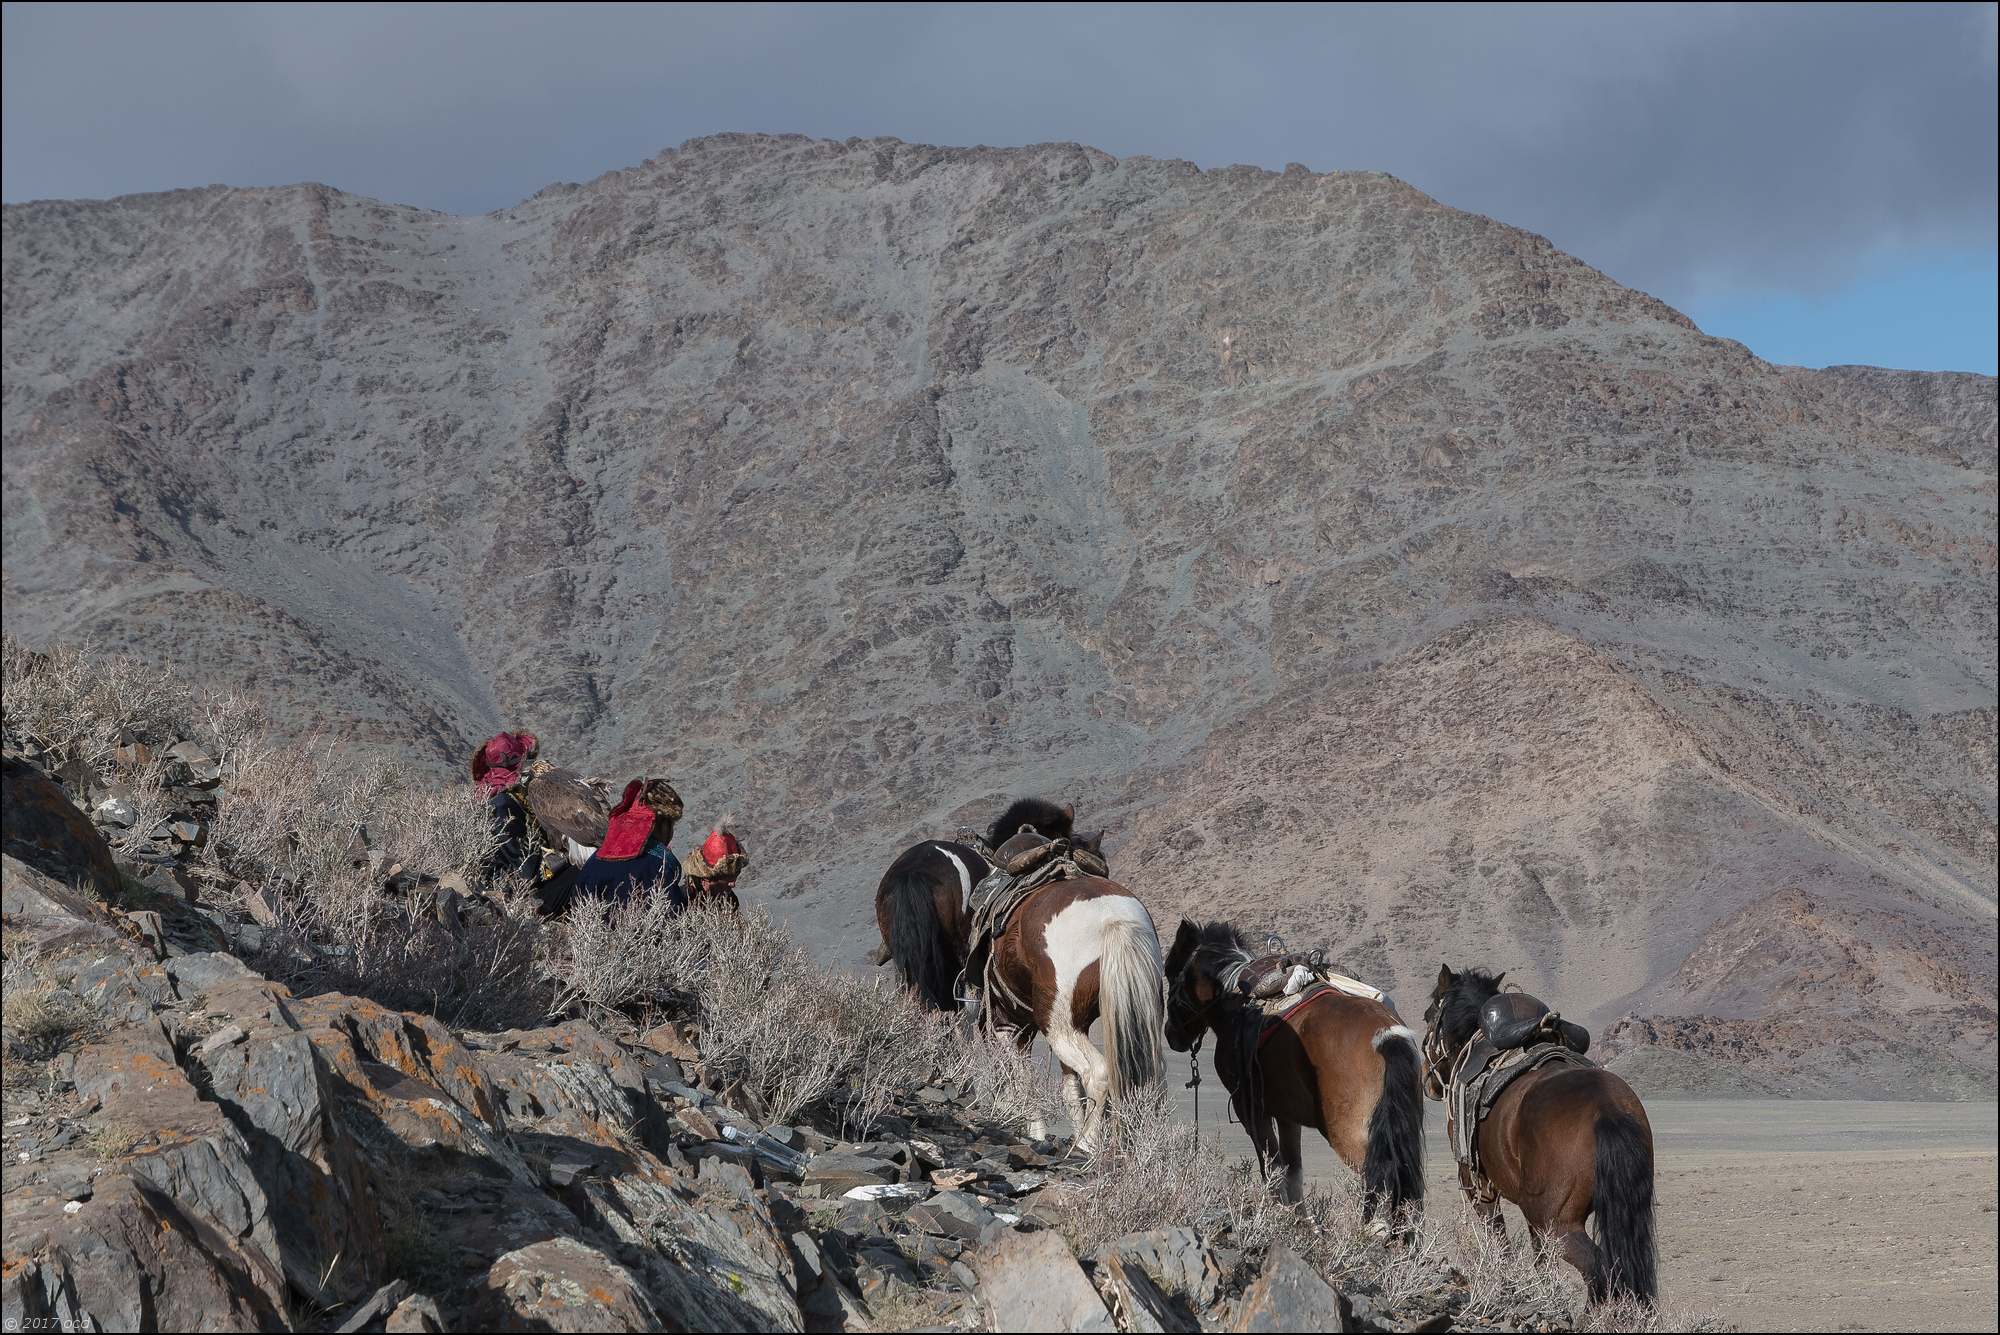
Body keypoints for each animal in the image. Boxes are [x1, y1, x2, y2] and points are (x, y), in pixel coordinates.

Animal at [1168, 919, 1432, 1223]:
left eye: (1172, 975)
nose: (1171, 1036)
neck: (1234, 999)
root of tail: (1386, 1034)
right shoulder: (1287, 1115)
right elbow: (1293, 1172)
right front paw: (1303, 1224)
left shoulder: (1250, 1110)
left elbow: (1272, 1170)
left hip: (1355, 1137)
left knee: (1381, 1183)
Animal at [1432, 963, 1664, 1311]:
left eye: (1431, 1012)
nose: (1429, 1082)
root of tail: (1607, 1109)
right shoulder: (1530, 1213)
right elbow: (1540, 1259)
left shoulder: (1478, 1187)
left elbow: (1499, 1241)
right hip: (1620, 1212)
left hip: (1558, 1223)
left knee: (1598, 1268)